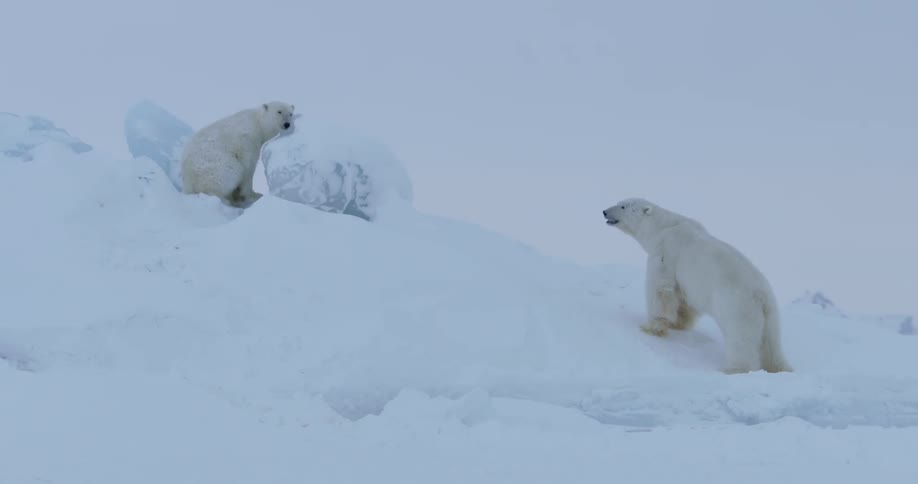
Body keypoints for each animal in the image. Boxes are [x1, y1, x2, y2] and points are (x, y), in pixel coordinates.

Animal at [602, 197, 792, 374]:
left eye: (622, 206)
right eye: (619, 202)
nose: (604, 212)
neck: (662, 227)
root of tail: (760, 295)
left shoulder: (665, 253)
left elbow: (661, 289)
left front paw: (650, 327)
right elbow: (684, 300)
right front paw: (679, 324)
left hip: (737, 307)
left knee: (741, 340)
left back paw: (733, 369)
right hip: (771, 315)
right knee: (771, 344)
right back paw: (780, 368)